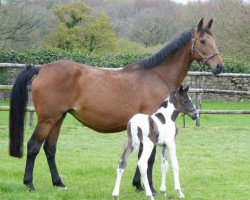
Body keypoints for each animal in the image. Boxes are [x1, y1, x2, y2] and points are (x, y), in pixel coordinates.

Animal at [8, 18, 223, 192]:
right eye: (203, 41)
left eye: (214, 41)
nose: (219, 66)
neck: (157, 76)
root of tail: (41, 68)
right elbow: (150, 157)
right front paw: (149, 187)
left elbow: (142, 155)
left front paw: (138, 184)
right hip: (47, 119)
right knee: (33, 146)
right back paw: (29, 184)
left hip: (58, 118)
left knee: (50, 149)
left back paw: (59, 183)